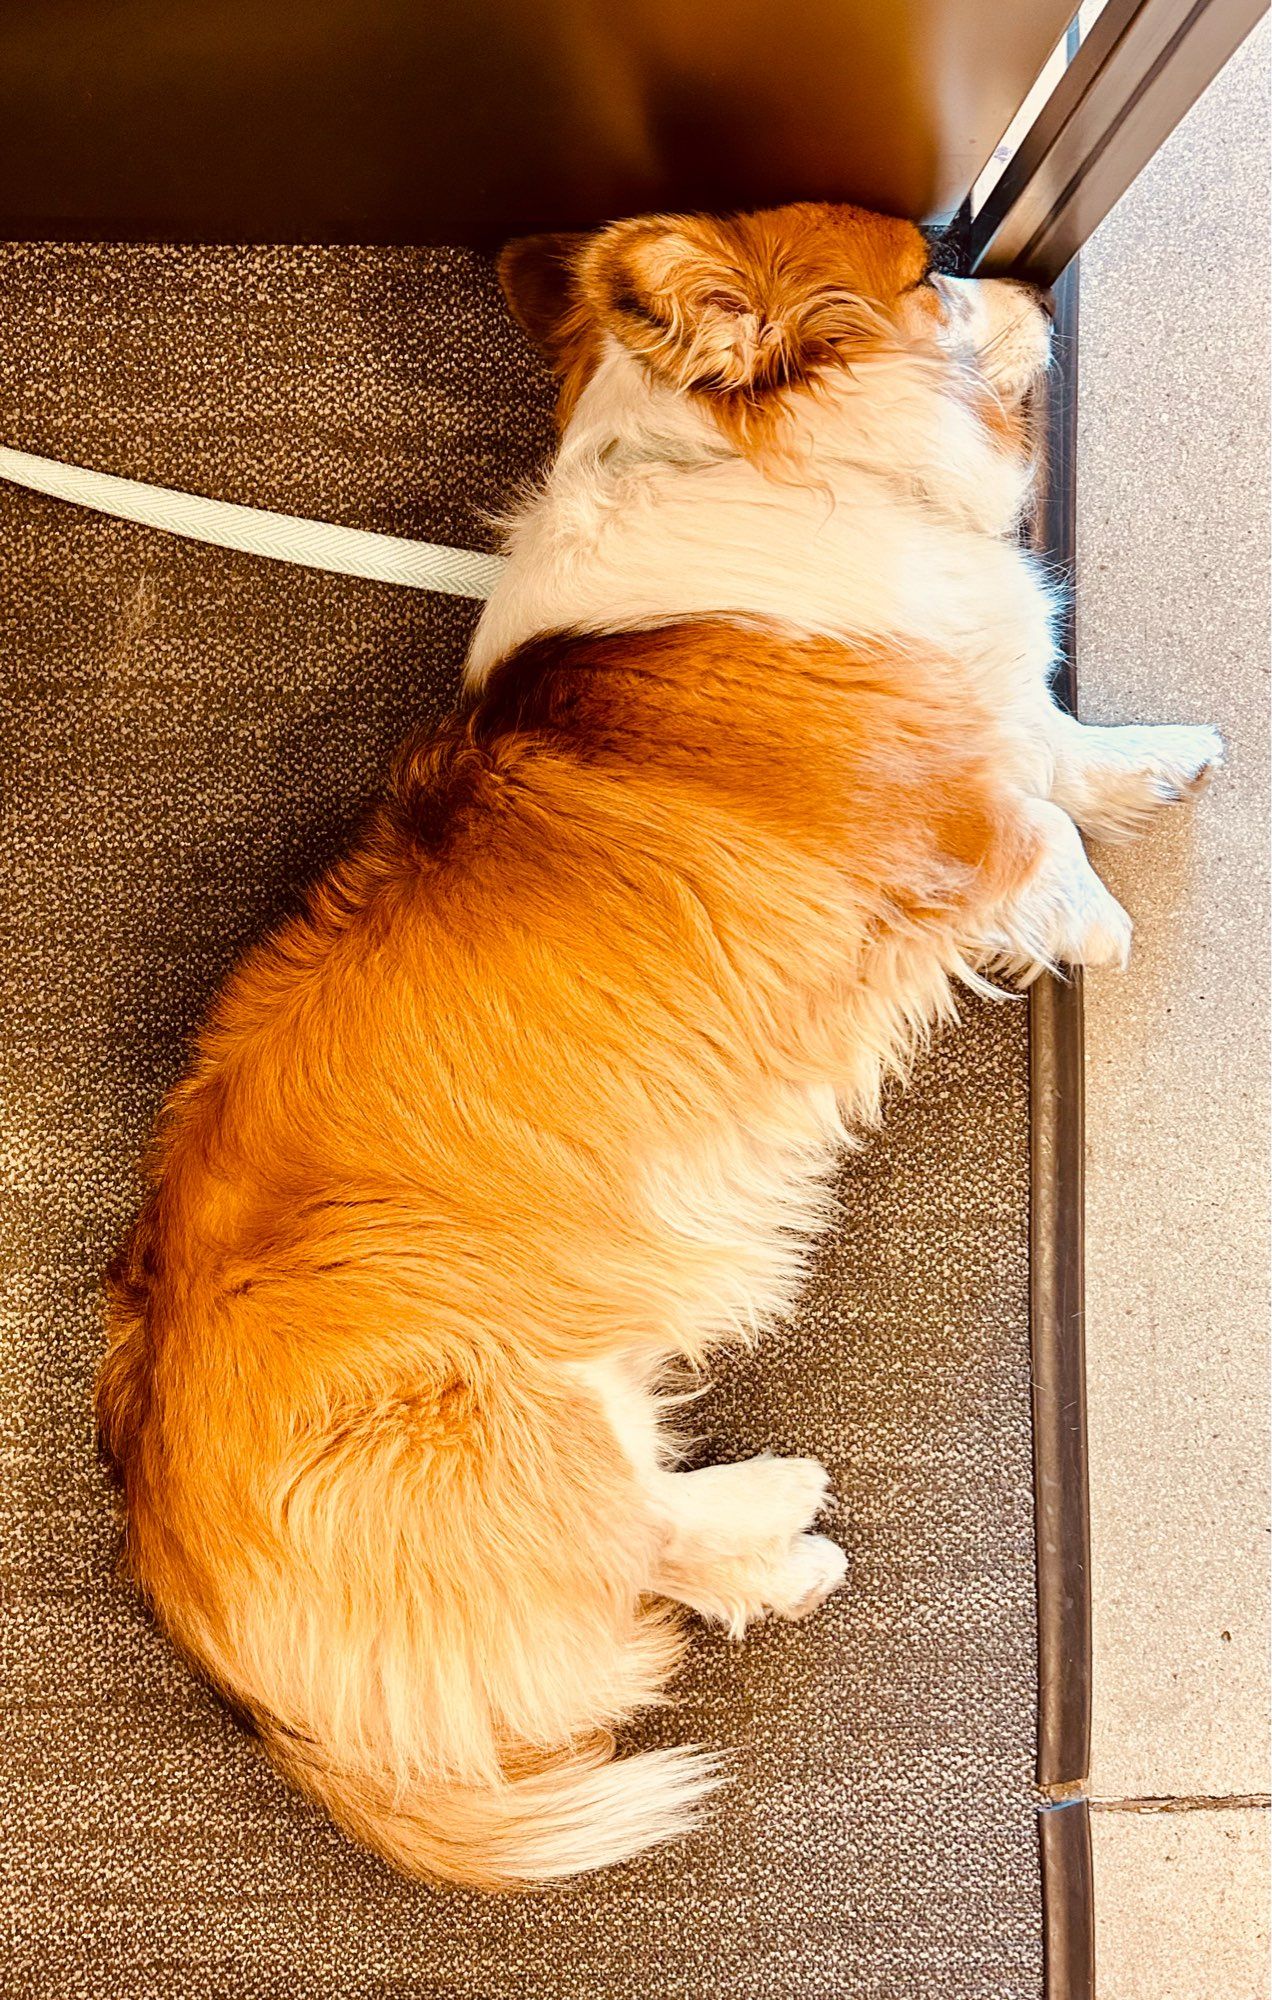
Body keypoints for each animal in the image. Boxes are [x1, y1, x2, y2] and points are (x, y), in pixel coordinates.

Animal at [92, 203, 1224, 1888]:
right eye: (930, 276)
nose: (1025, 268)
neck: (770, 475)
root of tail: (198, 1607)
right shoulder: (954, 818)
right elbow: (1040, 829)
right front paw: (1094, 926)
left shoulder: (998, 715)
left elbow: (1064, 743)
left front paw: (1167, 761)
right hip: (502, 1409)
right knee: (626, 1536)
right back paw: (791, 1532)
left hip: (578, 1386)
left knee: (650, 1531)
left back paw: (769, 1530)